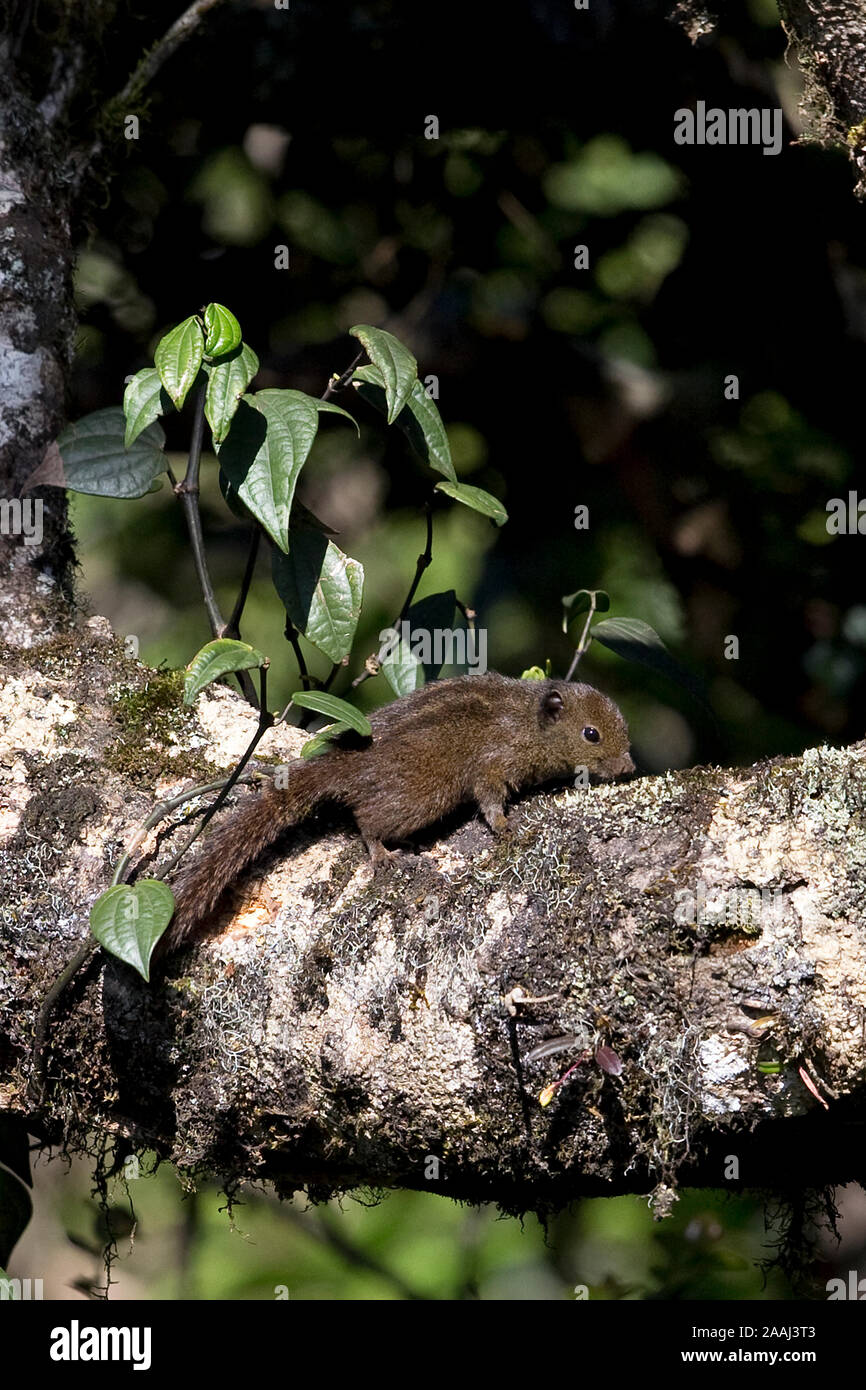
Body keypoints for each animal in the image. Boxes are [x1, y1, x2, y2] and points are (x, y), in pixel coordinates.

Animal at [162, 673, 634, 956]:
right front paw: (506, 826)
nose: (628, 767)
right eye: (591, 734)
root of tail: (344, 764)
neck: (527, 723)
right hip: (419, 797)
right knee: (366, 823)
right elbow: (489, 801)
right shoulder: (493, 765)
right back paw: (385, 853)